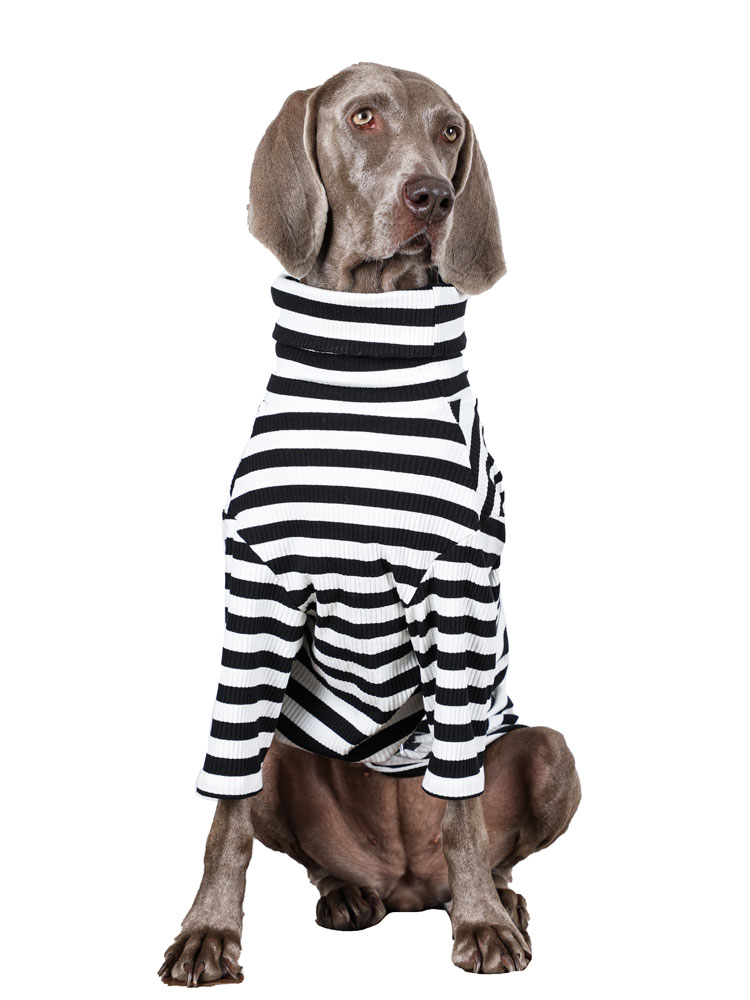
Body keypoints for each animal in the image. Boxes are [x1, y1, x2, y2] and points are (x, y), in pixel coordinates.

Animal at [159, 62, 581, 985]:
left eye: (451, 130)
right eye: (363, 118)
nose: (432, 197)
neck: (367, 355)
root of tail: (406, 883)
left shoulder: (459, 593)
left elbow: (461, 807)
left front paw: (484, 923)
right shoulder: (259, 590)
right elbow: (224, 816)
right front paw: (206, 932)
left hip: (548, 748)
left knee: (480, 832)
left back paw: (495, 902)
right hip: (284, 749)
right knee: (301, 835)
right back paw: (348, 893)